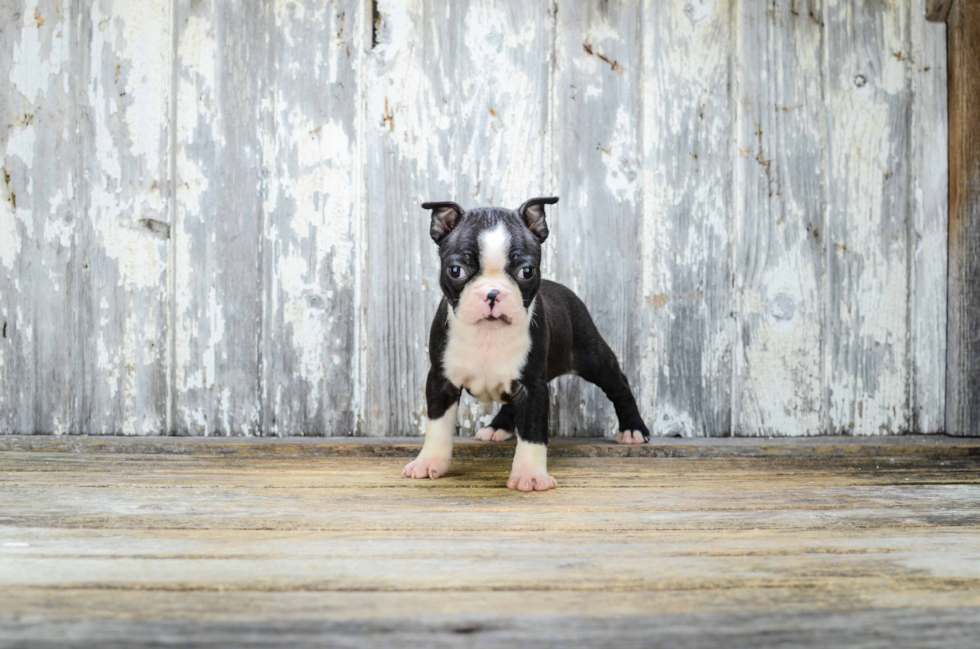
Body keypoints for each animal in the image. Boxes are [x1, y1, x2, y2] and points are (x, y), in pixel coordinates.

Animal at [402, 197, 648, 492]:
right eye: (456, 270)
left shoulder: (533, 387)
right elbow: (437, 427)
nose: (492, 293)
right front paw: (428, 462)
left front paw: (529, 475)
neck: (488, 335)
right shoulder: (441, 380)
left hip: (592, 357)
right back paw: (497, 427)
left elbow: (532, 432)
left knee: (619, 383)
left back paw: (633, 429)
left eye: (526, 271)